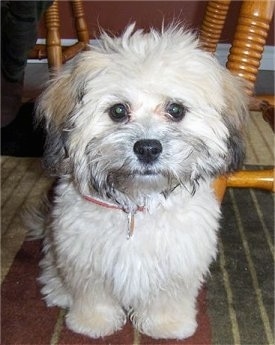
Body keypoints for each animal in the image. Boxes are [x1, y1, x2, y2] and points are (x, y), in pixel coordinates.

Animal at [31, 24, 248, 338]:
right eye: (118, 111)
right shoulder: (85, 259)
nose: (147, 148)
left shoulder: (179, 262)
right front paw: (92, 323)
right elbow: (93, 295)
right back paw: (59, 290)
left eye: (176, 110)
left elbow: (168, 297)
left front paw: (168, 325)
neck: (138, 203)